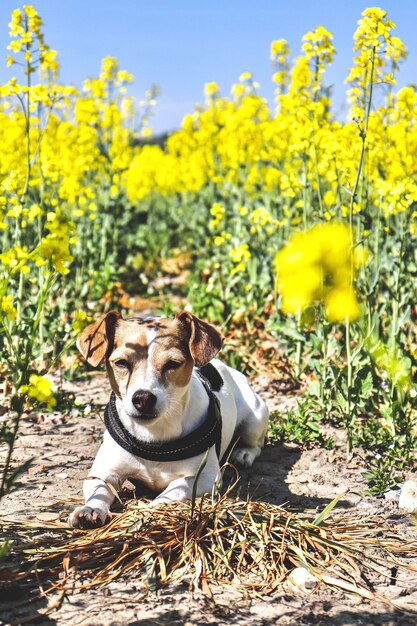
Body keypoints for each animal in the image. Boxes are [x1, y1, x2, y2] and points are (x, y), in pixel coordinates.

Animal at [68, 308, 268, 528]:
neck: (154, 434)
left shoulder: (204, 477)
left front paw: (153, 509)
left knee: (256, 443)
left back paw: (243, 453)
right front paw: (90, 509)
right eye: (121, 363)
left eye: (173, 364)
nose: (143, 398)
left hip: (255, 418)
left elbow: (173, 490)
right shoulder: (104, 471)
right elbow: (99, 490)